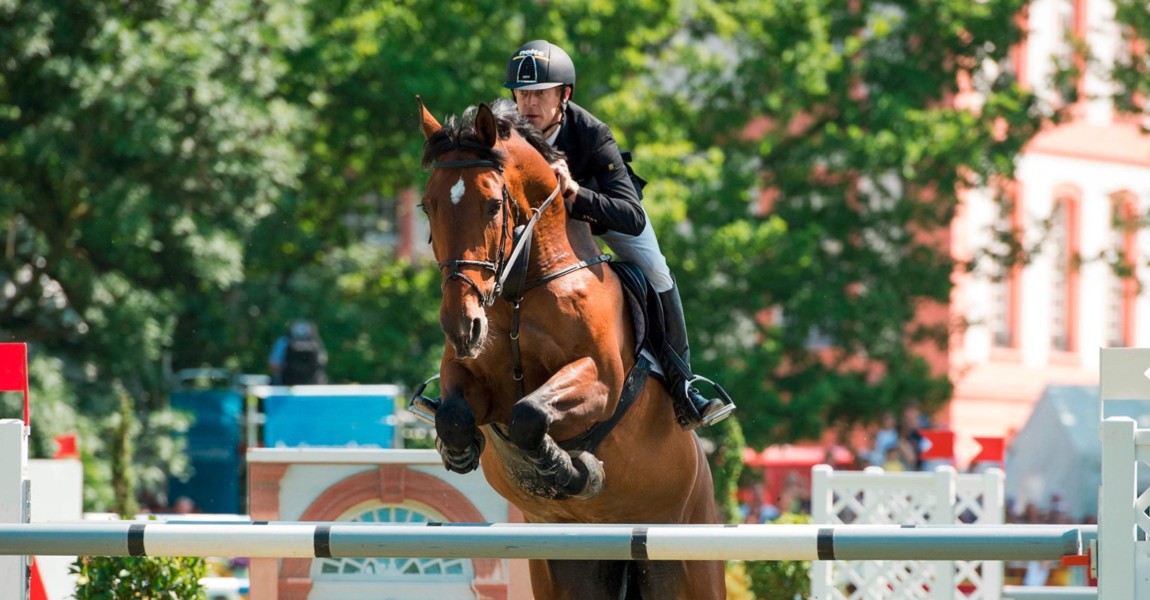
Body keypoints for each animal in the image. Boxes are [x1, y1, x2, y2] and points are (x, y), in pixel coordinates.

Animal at [414, 98, 722, 597]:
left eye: (493, 205)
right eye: (428, 205)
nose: (462, 326)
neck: (521, 289)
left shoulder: (599, 382)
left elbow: (530, 414)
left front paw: (567, 469)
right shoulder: (467, 376)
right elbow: (457, 415)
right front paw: (459, 452)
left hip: (686, 558)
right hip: (568, 566)